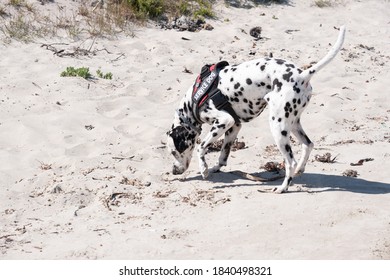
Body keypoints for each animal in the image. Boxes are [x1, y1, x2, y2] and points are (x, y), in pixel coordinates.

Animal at [166, 25, 346, 192]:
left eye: (174, 152)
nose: (174, 171)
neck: (193, 101)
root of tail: (302, 75)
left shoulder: (224, 121)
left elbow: (201, 146)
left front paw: (204, 169)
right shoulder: (234, 126)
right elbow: (223, 154)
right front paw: (215, 168)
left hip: (278, 127)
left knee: (290, 162)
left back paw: (283, 187)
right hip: (293, 123)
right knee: (308, 145)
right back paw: (299, 171)